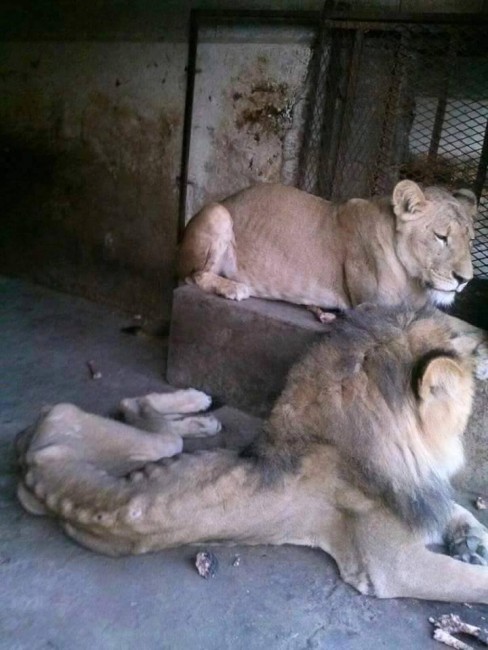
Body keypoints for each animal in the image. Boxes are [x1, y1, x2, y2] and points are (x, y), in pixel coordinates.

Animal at [15, 304, 488, 604]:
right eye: (466, 337)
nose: (485, 342)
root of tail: (30, 458)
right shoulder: (391, 565)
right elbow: (471, 582)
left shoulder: (420, 491)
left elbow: (455, 510)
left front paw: (472, 539)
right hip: (138, 441)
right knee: (137, 405)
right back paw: (200, 404)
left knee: (133, 406)